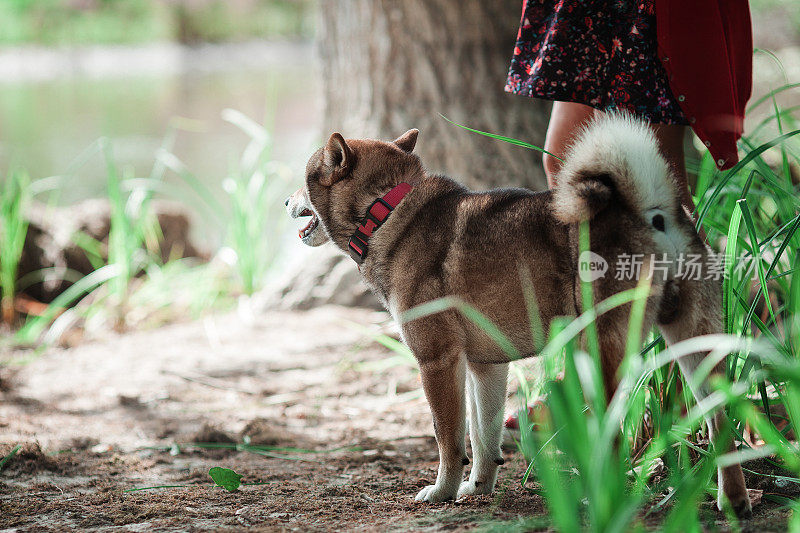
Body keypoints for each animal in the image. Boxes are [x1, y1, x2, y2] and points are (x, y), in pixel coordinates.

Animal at [286, 113, 752, 516]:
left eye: (304, 181)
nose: (286, 200)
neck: (386, 210)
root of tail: (652, 213)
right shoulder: (486, 365)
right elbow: (482, 435)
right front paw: (479, 486)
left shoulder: (437, 362)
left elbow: (449, 439)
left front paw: (442, 491)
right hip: (694, 346)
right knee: (720, 421)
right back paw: (733, 501)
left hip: (597, 354)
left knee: (616, 432)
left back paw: (602, 500)